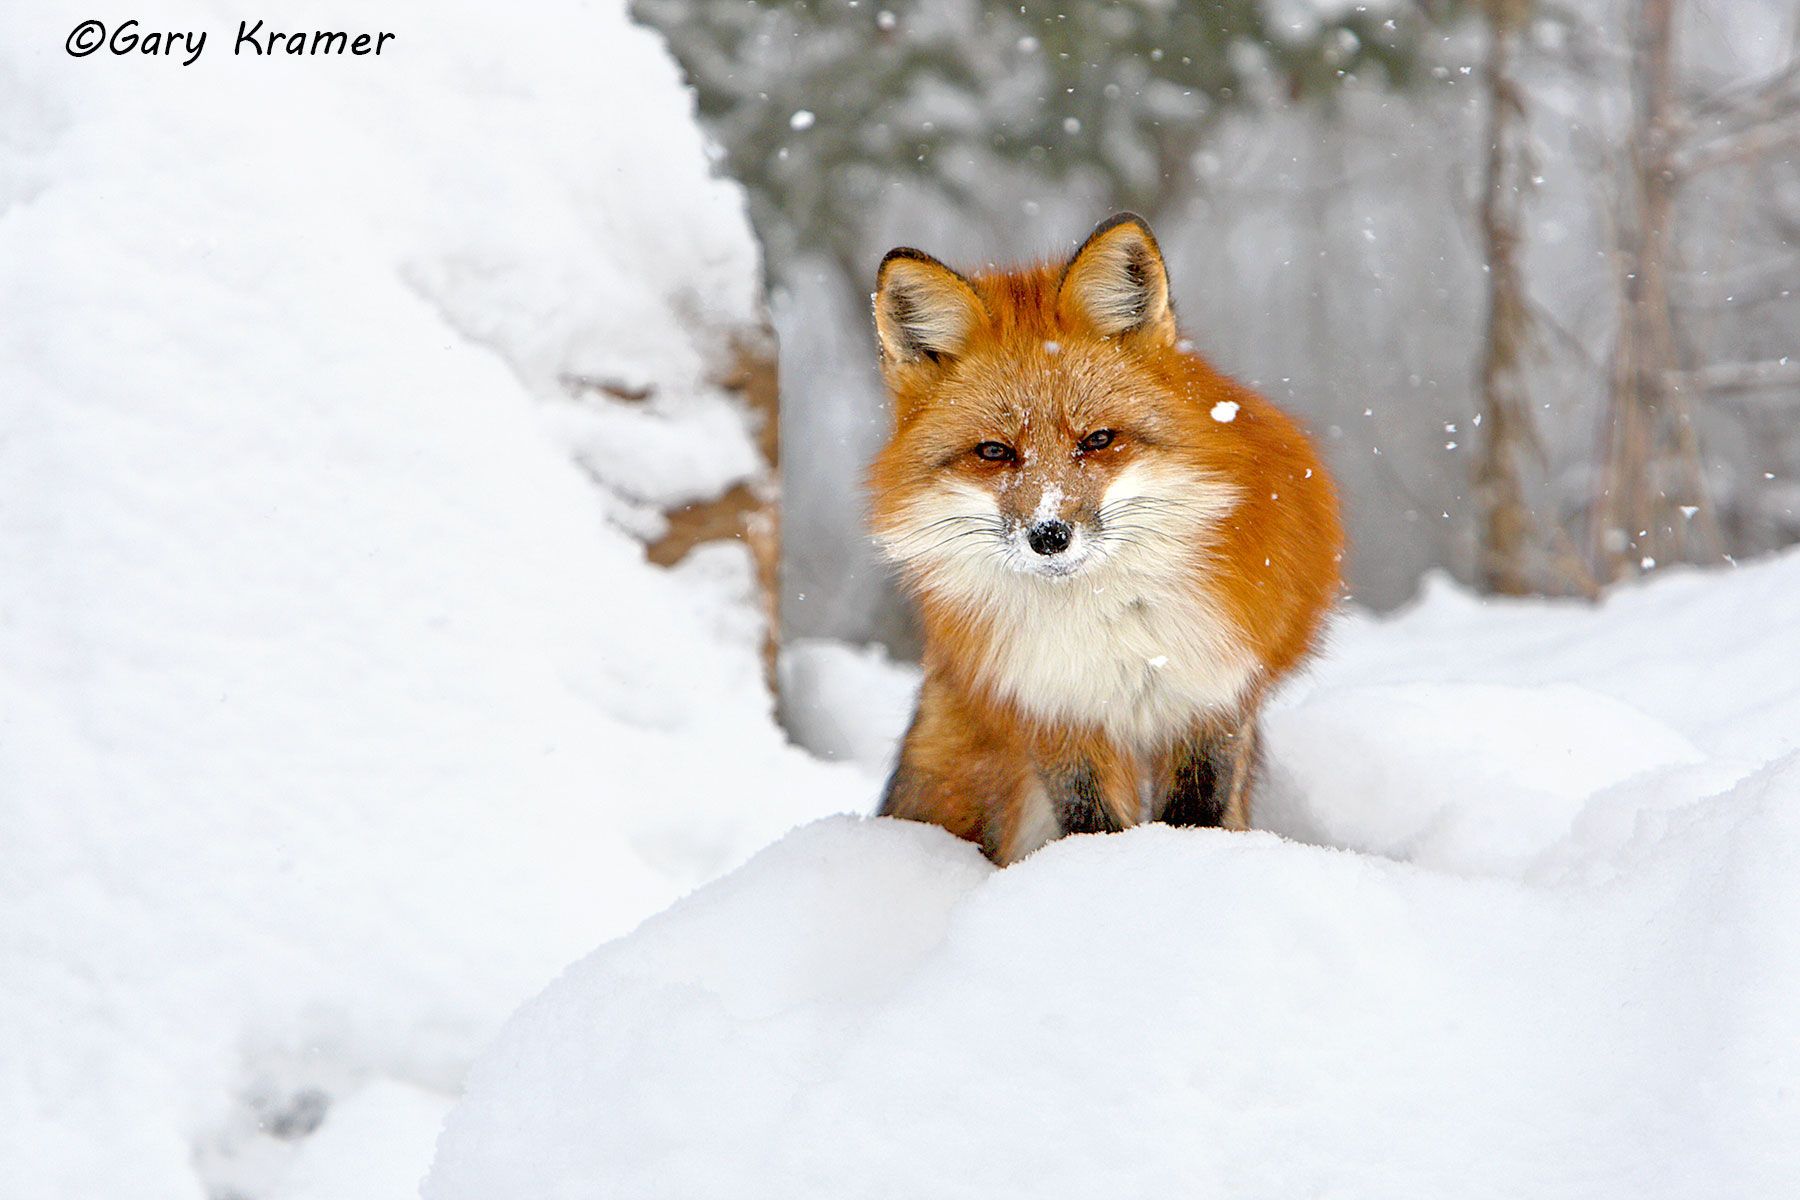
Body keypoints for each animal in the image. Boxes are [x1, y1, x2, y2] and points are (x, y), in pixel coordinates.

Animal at [867, 213, 1343, 865]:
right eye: (994, 451)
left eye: (1097, 440)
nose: (1050, 535)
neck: (1110, 618)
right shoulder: (1055, 708)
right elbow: (1091, 821)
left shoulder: (1210, 694)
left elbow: (1198, 813)